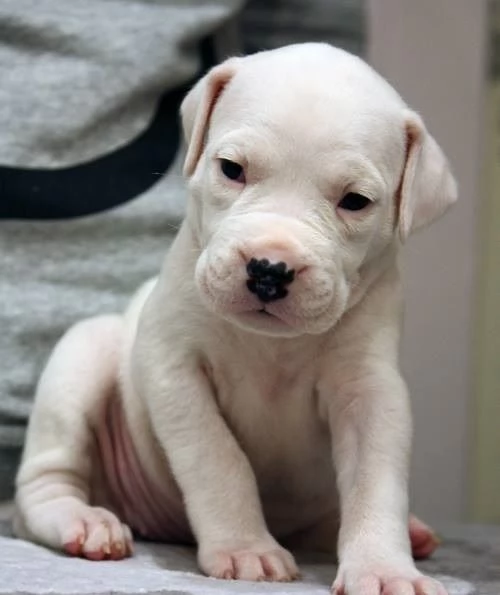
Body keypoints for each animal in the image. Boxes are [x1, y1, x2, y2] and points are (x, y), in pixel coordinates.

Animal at [13, 44, 456, 595]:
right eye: (231, 168)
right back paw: (84, 520)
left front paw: (383, 568)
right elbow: (218, 459)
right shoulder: (174, 369)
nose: (270, 268)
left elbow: (376, 481)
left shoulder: (370, 392)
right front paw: (248, 549)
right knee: (46, 483)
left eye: (355, 201)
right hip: (82, 359)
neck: (272, 345)